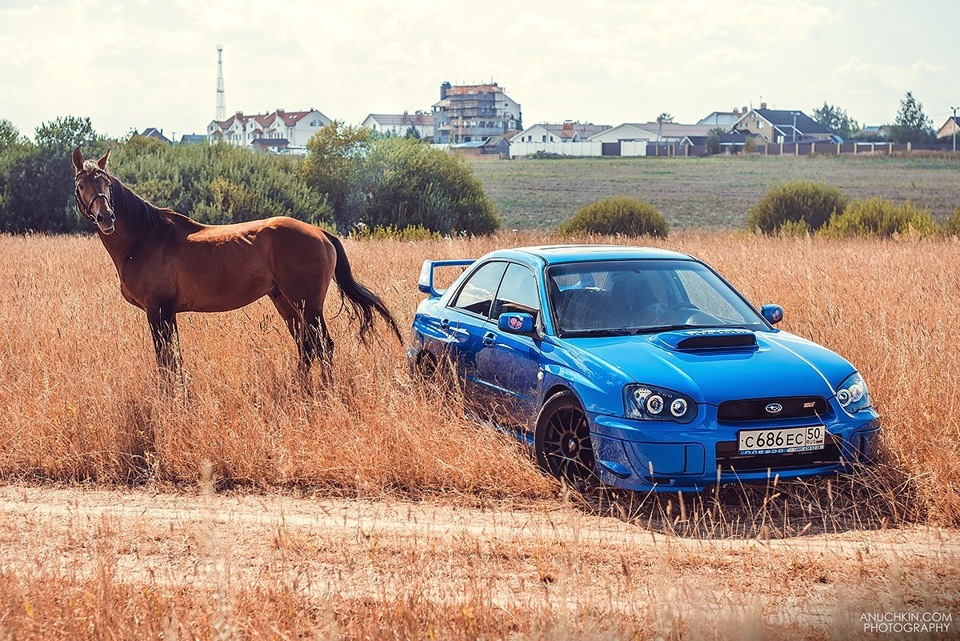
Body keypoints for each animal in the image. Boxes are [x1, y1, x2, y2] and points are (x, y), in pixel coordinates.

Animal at [72, 146, 402, 376]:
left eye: (107, 184)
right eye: (81, 185)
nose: (106, 217)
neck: (147, 236)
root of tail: (321, 233)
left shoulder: (158, 310)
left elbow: (166, 361)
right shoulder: (167, 313)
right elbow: (173, 360)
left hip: (308, 305)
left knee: (323, 347)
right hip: (285, 302)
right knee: (306, 347)